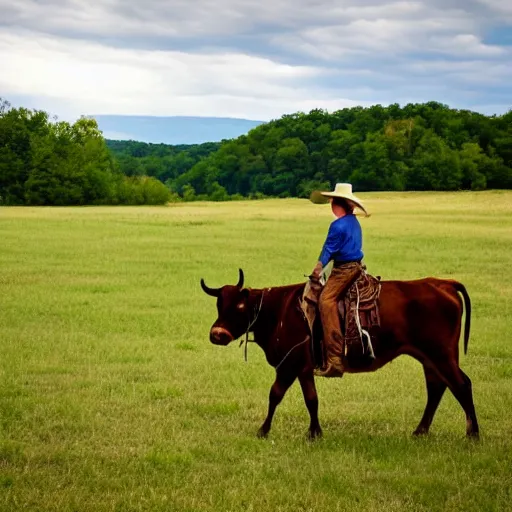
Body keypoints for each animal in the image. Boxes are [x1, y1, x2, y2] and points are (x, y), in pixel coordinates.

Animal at [200, 268, 480, 440]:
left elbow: (275, 395)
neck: (279, 309)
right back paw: (420, 431)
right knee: (437, 388)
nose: (217, 334)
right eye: (218, 304)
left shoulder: (288, 366)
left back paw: (473, 434)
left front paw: (263, 430)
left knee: (461, 385)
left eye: (239, 305)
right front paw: (314, 433)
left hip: (441, 355)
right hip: (429, 358)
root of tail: (441, 283)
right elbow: (311, 399)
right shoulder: (304, 368)